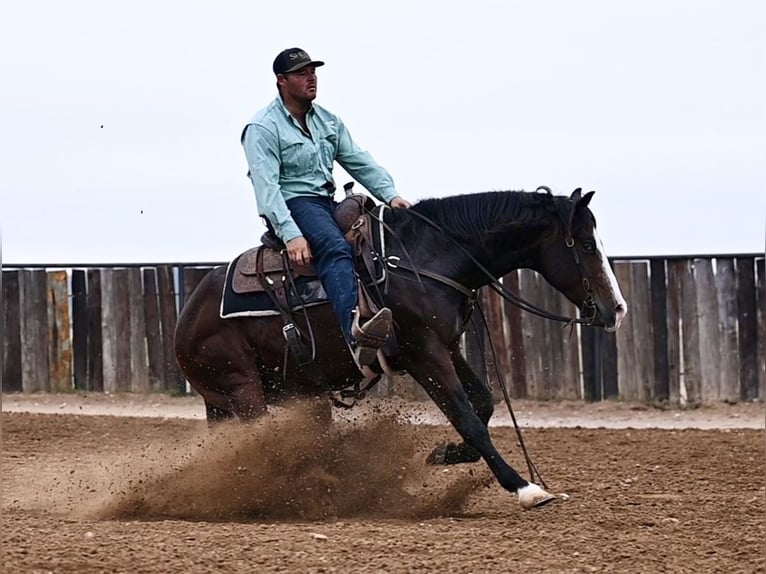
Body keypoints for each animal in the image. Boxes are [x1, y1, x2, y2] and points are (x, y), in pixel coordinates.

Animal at [176, 187, 632, 510]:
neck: (428, 258)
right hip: (244, 390)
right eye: (586, 244)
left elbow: (483, 403)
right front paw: (524, 487)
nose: (617, 309)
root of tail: (186, 319)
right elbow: (467, 417)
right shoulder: (422, 353)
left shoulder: (446, 346)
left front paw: (445, 454)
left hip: (287, 394)